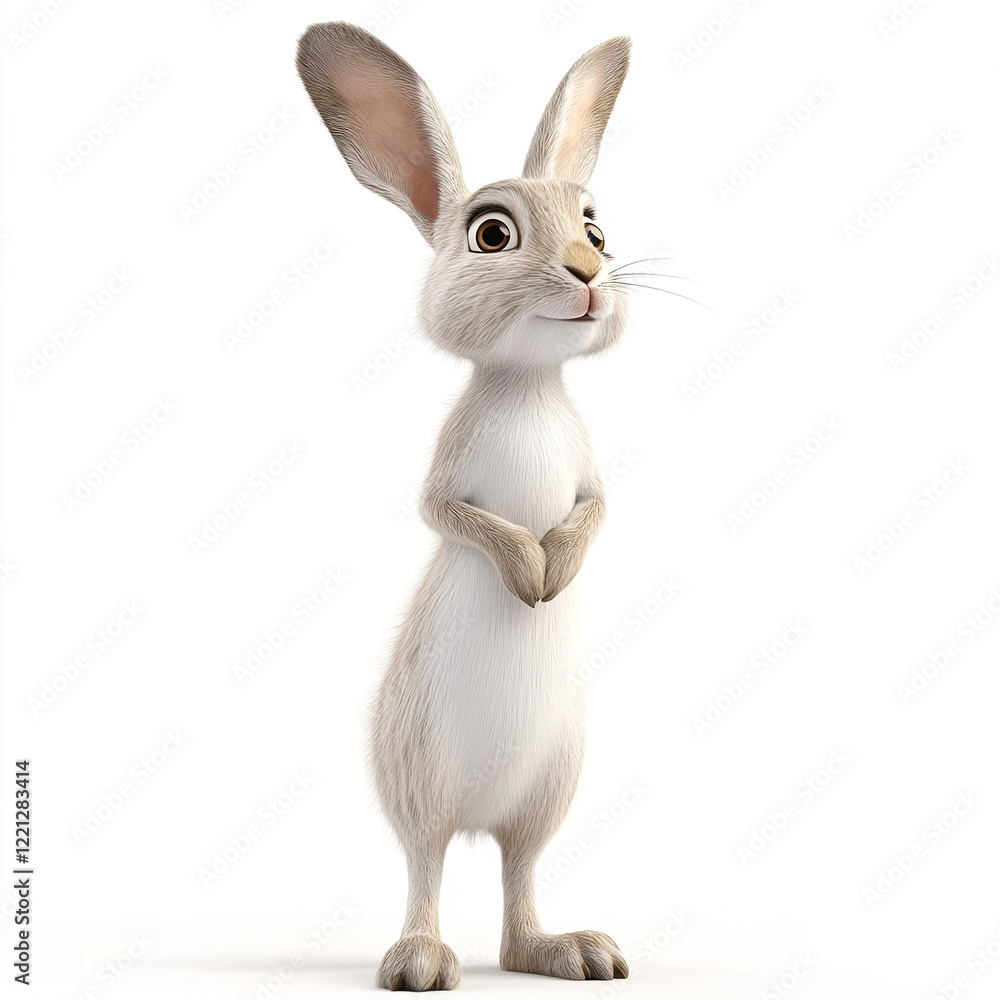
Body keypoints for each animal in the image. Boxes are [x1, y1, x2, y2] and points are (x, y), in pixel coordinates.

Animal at [296, 22, 632, 991]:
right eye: (492, 233)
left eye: (597, 228)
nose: (589, 273)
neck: (527, 383)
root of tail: (483, 815)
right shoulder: (447, 478)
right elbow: (457, 518)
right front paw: (530, 576)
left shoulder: (592, 476)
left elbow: (595, 513)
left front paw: (556, 572)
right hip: (418, 773)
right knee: (427, 865)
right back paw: (418, 961)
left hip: (550, 788)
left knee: (520, 887)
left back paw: (573, 952)